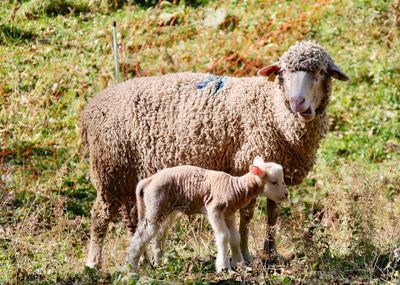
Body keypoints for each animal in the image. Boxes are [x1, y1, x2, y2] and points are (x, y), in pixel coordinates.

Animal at [125, 156, 288, 272]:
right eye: (274, 182)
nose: (286, 195)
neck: (236, 188)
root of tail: (148, 180)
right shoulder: (214, 208)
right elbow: (223, 236)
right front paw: (224, 267)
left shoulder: (229, 213)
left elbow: (235, 238)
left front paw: (240, 264)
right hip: (156, 206)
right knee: (141, 236)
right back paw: (131, 267)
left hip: (168, 210)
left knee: (159, 235)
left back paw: (158, 263)